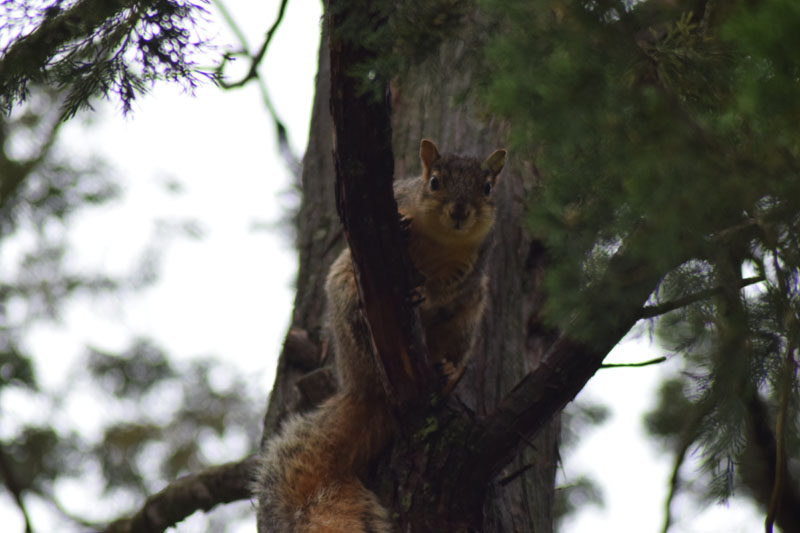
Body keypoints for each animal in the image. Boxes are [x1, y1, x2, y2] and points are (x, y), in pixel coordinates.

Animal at [256, 139, 506, 528]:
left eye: (487, 188)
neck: (443, 238)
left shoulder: (474, 262)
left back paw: (448, 370)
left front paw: (427, 295)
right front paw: (405, 224)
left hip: (468, 319)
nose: (460, 212)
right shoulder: (399, 198)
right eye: (434, 182)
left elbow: (448, 287)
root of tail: (361, 388)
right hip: (345, 293)